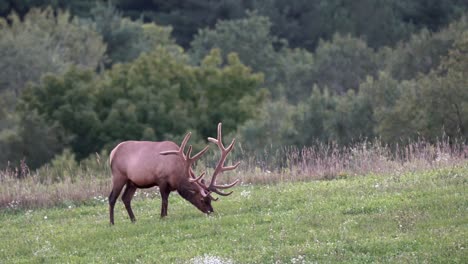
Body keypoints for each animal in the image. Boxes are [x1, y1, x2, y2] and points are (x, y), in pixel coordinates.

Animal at [106, 122, 238, 224]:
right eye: (202, 199)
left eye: (210, 199)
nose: (211, 211)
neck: (177, 175)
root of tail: (112, 153)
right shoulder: (161, 179)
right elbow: (164, 200)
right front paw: (163, 217)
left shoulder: (170, 185)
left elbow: (166, 200)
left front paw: (164, 215)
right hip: (119, 175)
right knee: (112, 197)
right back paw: (112, 223)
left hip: (132, 182)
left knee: (125, 198)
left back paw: (134, 220)